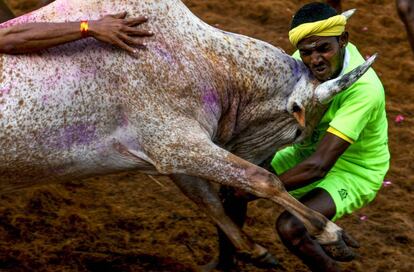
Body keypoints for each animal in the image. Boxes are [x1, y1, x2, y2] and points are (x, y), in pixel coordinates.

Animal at [0, 0, 376, 268]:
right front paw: (331, 233)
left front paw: (254, 251)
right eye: (297, 133)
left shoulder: (170, 154)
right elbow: (262, 181)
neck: (212, 64)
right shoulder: (175, 144)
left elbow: (208, 200)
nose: (268, 158)